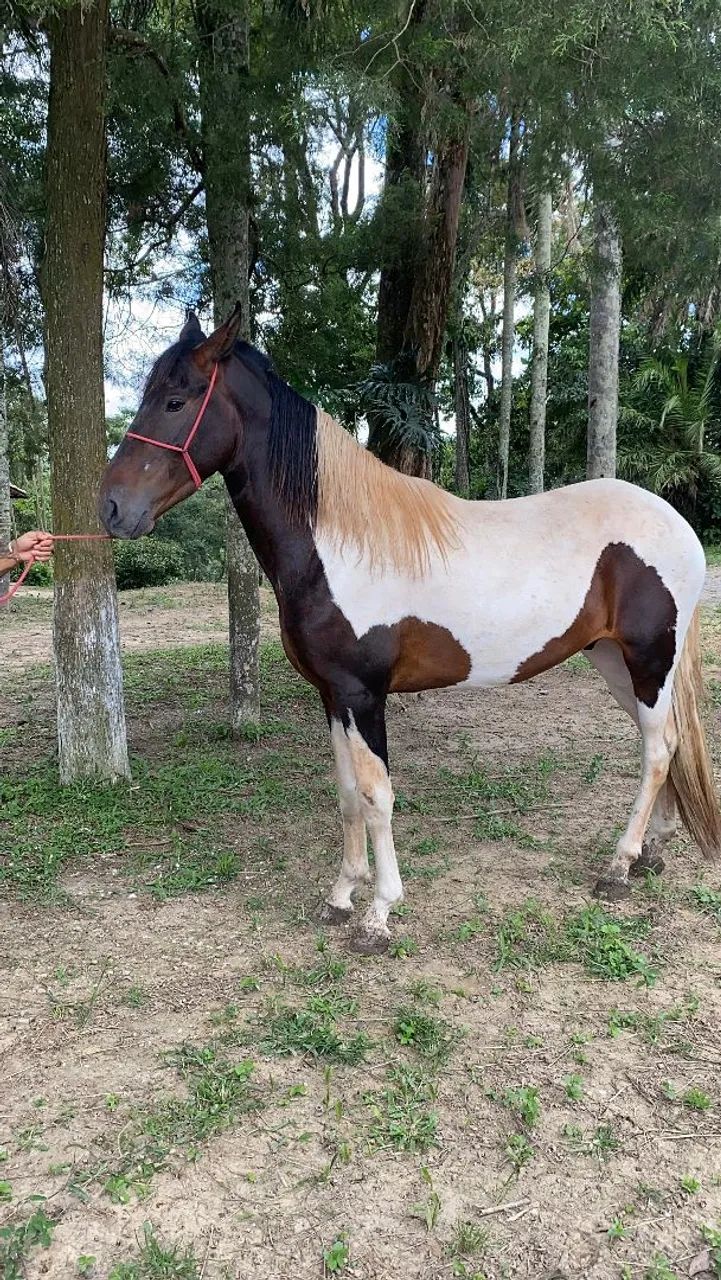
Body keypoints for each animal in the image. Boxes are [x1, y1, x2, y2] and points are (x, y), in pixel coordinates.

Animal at [99, 305, 721, 954]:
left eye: (176, 401)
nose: (112, 508)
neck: (336, 546)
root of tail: (675, 521)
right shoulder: (333, 696)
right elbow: (348, 793)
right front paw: (341, 896)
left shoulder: (362, 694)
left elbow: (377, 796)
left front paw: (378, 913)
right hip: (616, 663)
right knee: (669, 741)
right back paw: (652, 850)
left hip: (649, 661)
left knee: (658, 749)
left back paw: (619, 866)